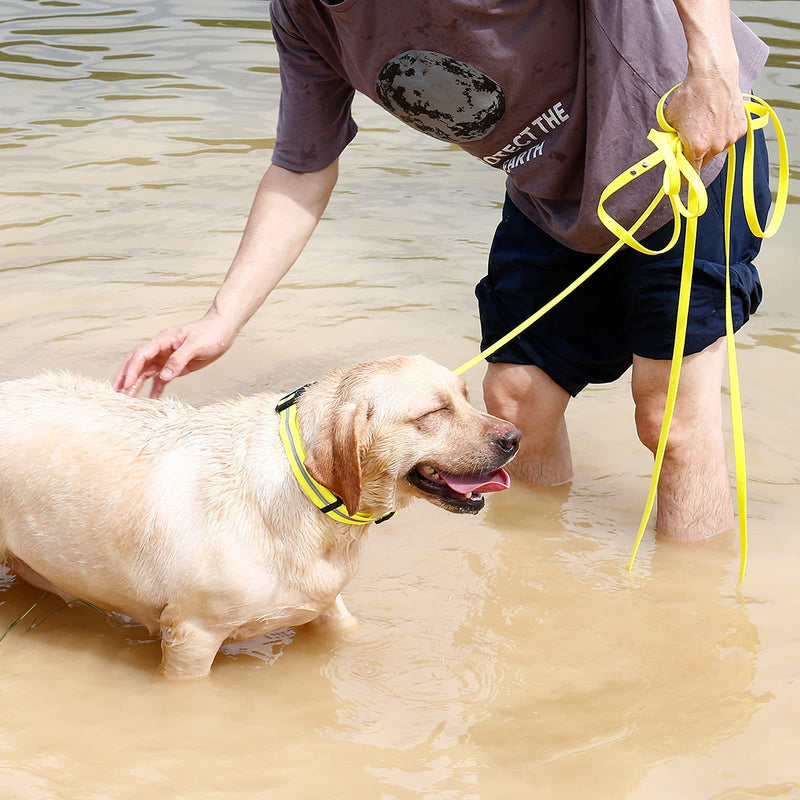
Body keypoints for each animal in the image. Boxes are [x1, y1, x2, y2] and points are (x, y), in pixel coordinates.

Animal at [0, 354, 520, 676]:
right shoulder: (191, 636)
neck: (311, 501)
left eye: (466, 395)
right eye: (434, 412)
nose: (514, 438)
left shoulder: (326, 603)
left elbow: (350, 633)